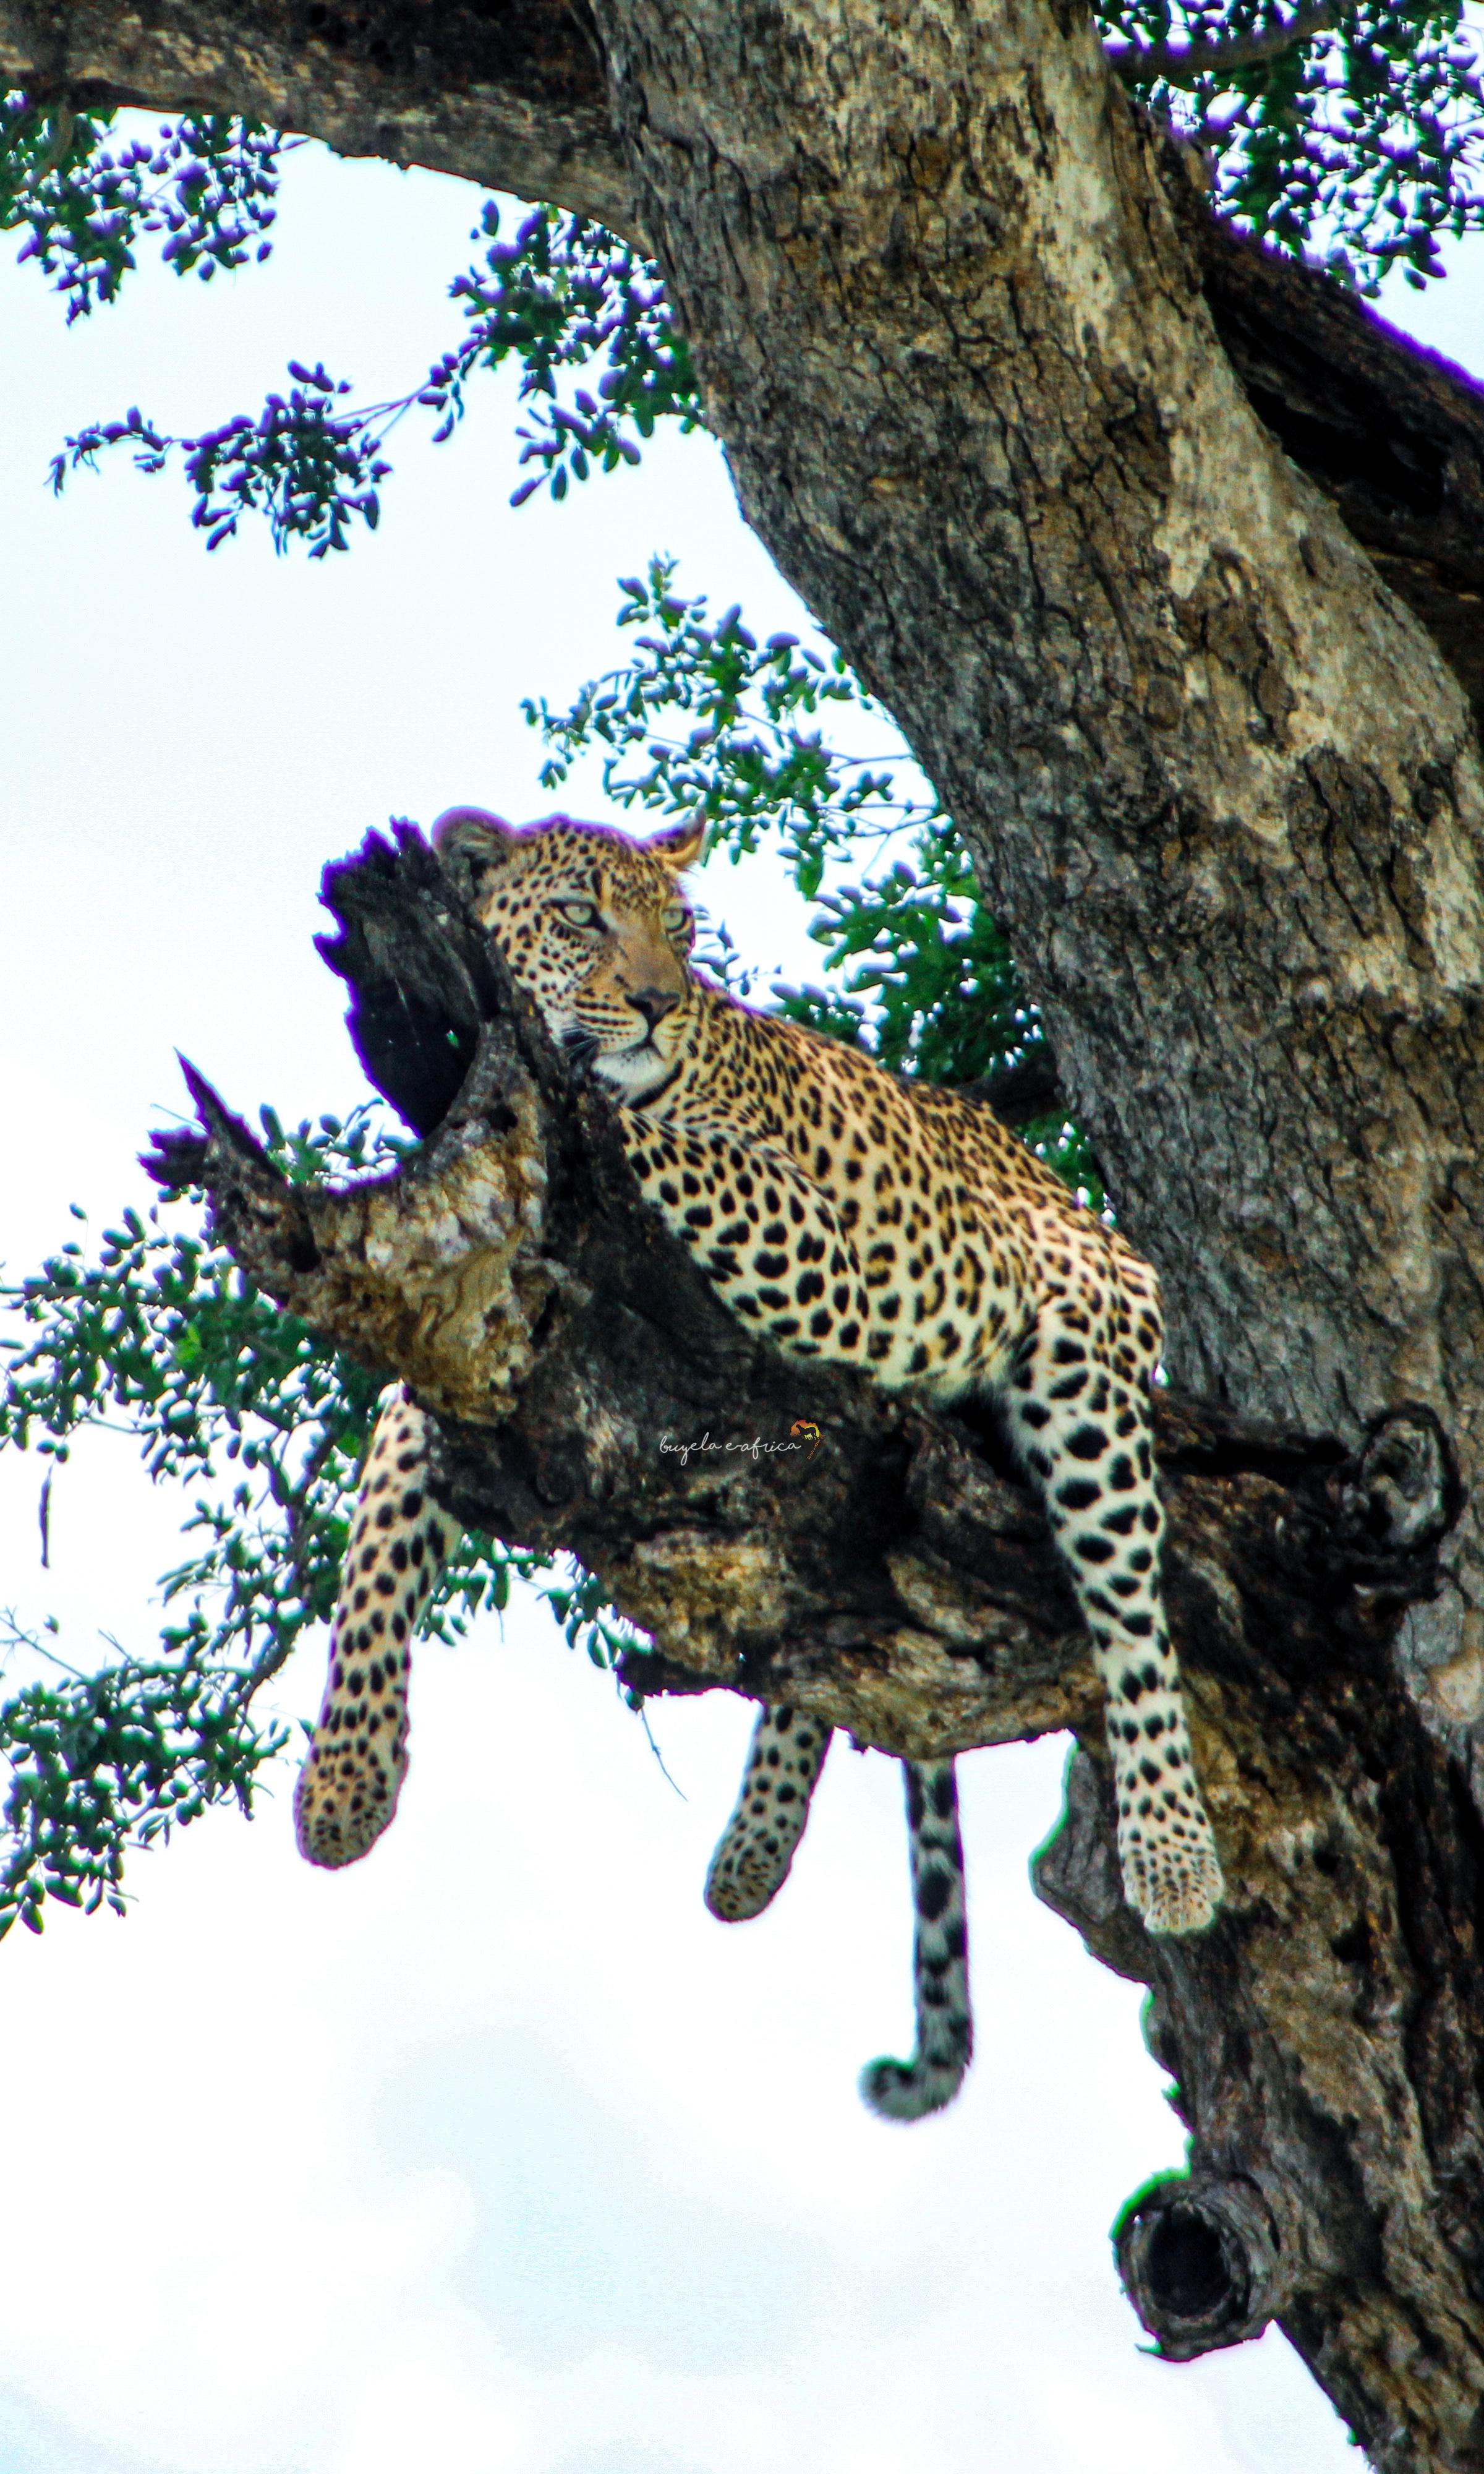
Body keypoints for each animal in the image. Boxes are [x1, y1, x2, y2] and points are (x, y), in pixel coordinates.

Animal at [294, 808, 1224, 2117]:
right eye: (580, 916)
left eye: (679, 930)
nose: (655, 1002)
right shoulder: (469, 1346)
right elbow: (376, 1546)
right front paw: (346, 1785)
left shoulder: (798, 1233)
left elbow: (627, 1131)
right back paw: (752, 1852)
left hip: (1080, 1364)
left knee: (1130, 1610)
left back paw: (1172, 1856)